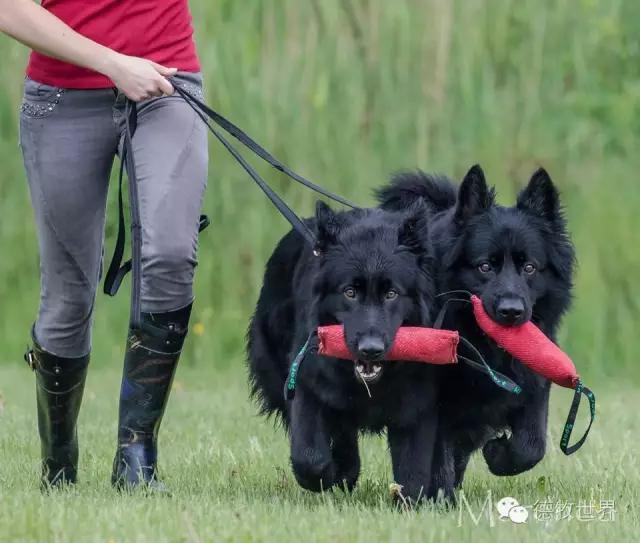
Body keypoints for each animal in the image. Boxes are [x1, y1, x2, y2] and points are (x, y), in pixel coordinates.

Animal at [248, 202, 442, 504]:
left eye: (391, 294)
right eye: (350, 292)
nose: (370, 349)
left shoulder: (418, 402)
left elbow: (414, 471)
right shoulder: (306, 382)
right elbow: (309, 458)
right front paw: (328, 475)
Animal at [380, 167, 576, 502]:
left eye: (529, 267)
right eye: (485, 266)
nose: (511, 311)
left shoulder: (534, 382)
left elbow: (532, 445)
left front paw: (499, 455)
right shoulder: (435, 400)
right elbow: (438, 456)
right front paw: (440, 499)